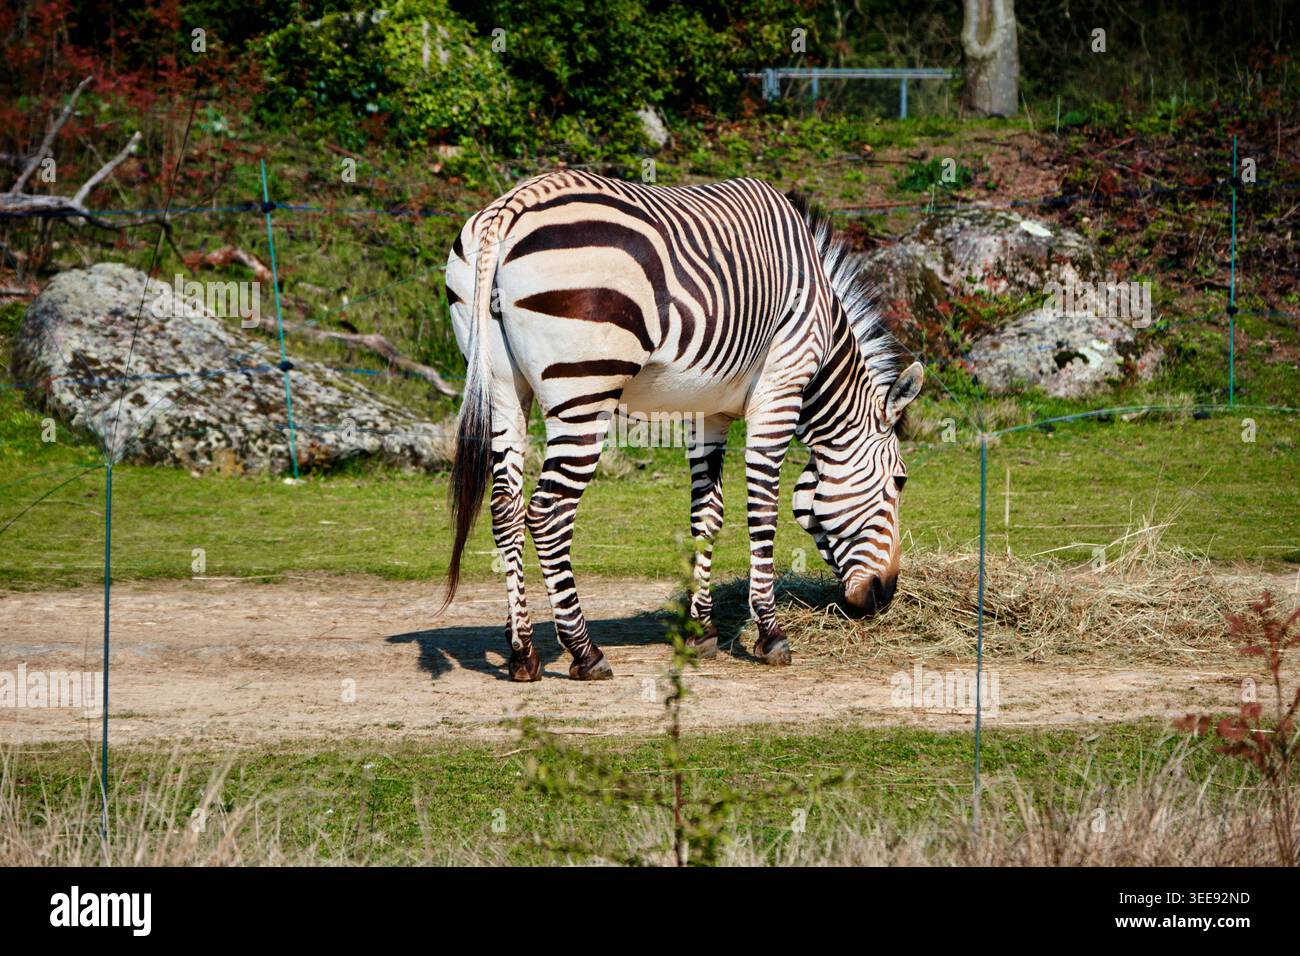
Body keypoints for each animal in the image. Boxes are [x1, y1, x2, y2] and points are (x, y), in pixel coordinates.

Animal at [442, 171, 923, 682]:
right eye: (899, 481)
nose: (884, 596)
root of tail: (510, 207)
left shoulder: (706, 412)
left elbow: (706, 514)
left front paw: (702, 630)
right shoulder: (779, 391)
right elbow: (763, 511)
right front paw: (770, 634)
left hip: (503, 388)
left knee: (505, 509)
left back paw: (523, 652)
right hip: (584, 390)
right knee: (548, 513)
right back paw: (584, 652)